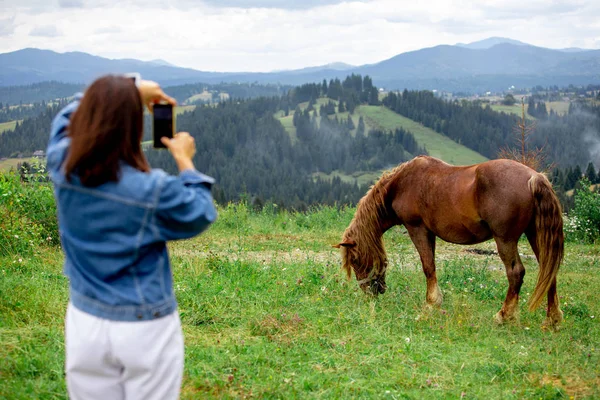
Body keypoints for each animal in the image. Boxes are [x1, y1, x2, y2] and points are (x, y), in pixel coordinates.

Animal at [336, 155, 564, 326]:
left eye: (355, 261)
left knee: (516, 273)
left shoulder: (417, 229)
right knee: (548, 271)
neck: (401, 184)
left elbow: (428, 266)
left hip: (505, 239)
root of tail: (534, 177)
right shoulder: (430, 233)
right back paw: (552, 319)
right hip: (536, 234)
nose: (371, 293)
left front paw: (430, 304)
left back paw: (503, 316)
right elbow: (432, 265)